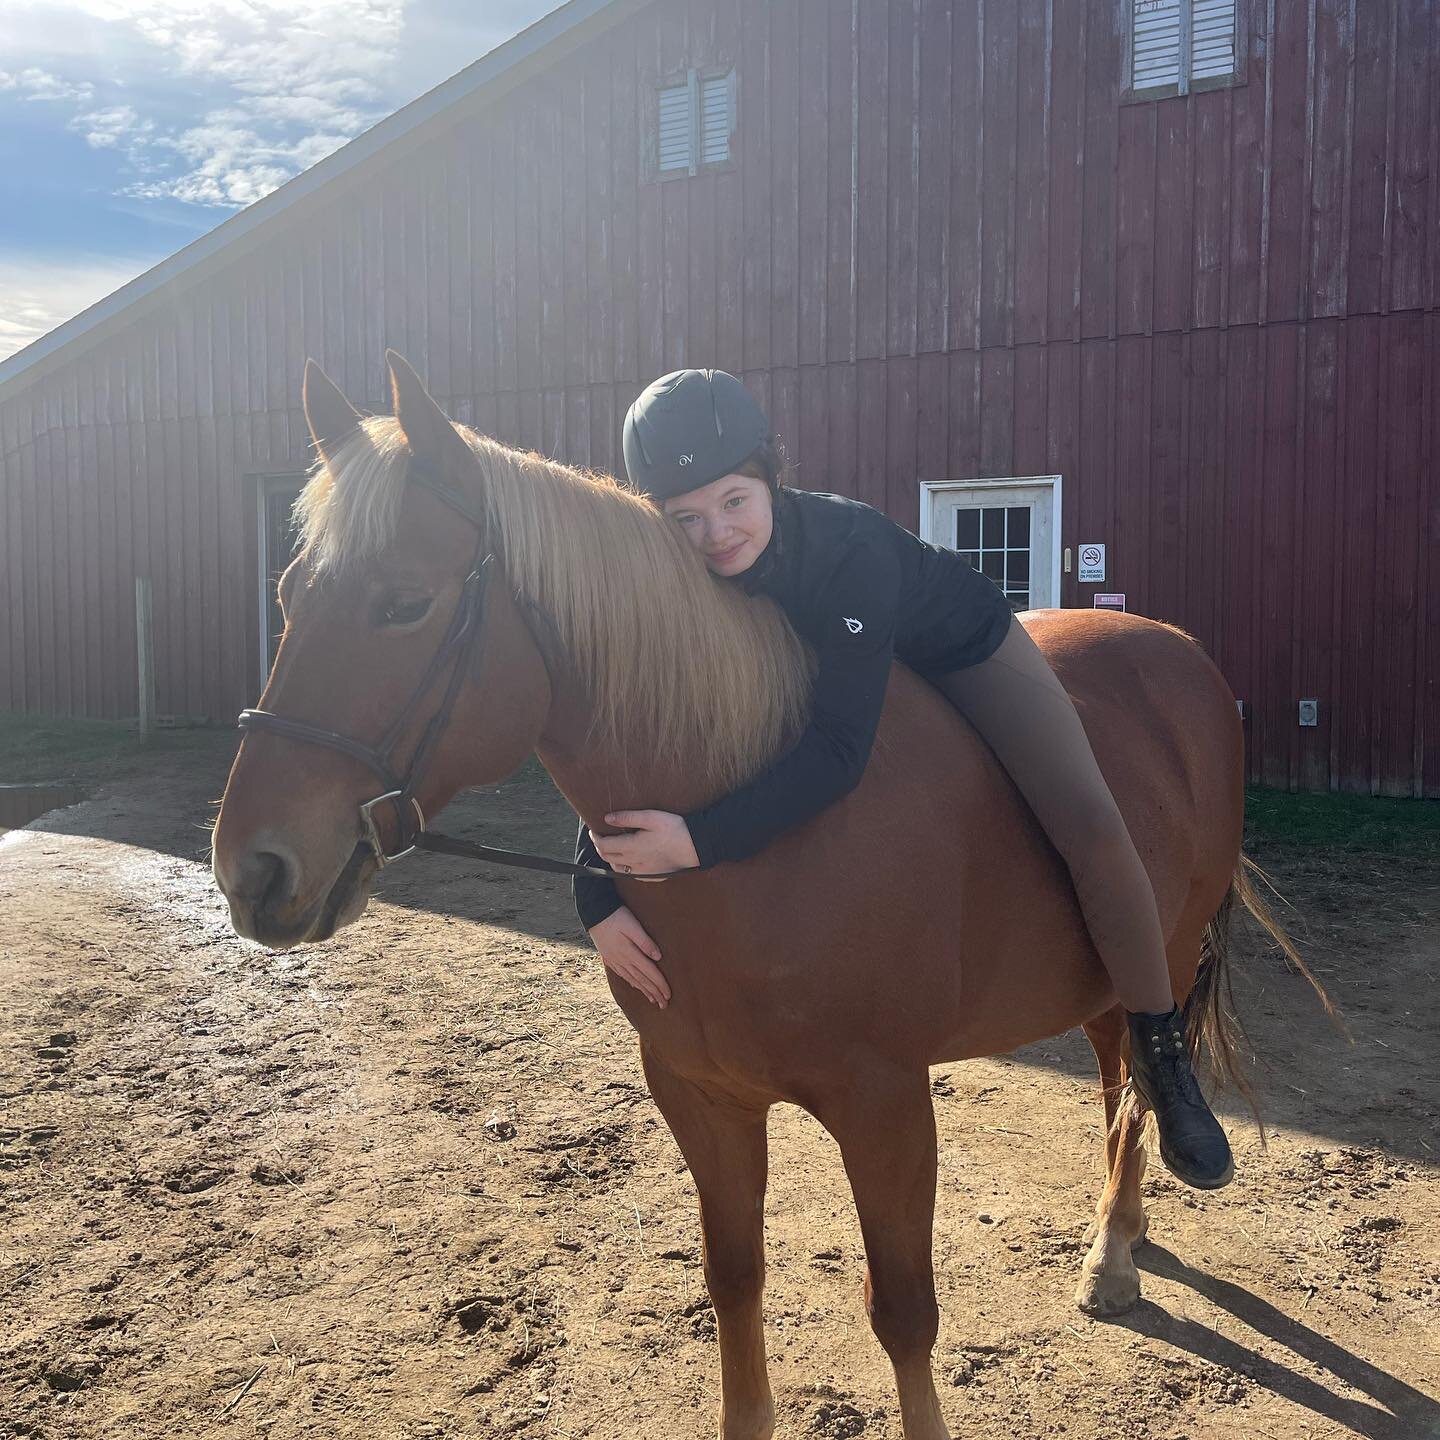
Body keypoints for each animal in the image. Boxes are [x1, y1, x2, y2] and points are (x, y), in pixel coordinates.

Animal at [216, 357, 1307, 1440]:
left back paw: (1119, 1249)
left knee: (1144, 1081)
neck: (751, 825)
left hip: (1153, 944)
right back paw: (1123, 1239)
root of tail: (1175, 651)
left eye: (404, 603)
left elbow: (903, 1311)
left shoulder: (887, 1104)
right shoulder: (700, 1095)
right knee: (1120, 1082)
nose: (252, 872)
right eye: (289, 593)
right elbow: (733, 1279)